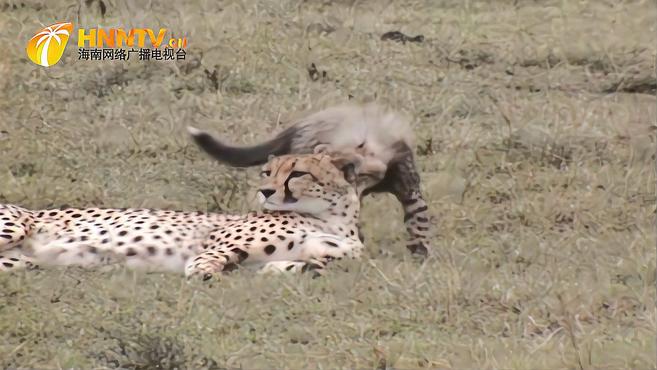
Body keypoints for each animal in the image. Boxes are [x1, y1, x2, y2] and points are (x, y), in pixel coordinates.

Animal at [0, 152, 364, 278]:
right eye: (267, 172)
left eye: (297, 173)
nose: (266, 192)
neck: (332, 217)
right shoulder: (217, 242)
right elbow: (209, 258)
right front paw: (204, 272)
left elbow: (323, 260)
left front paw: (309, 267)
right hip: (14, 227)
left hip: (17, 262)